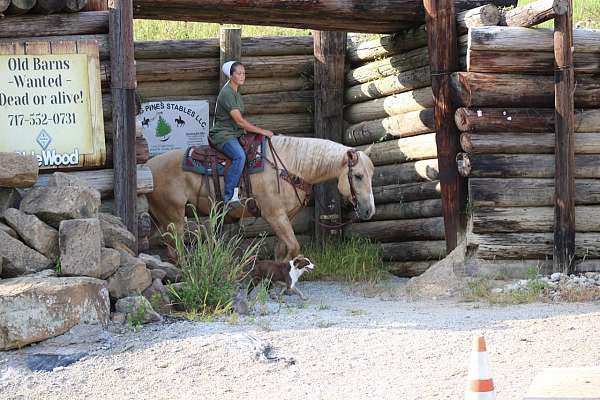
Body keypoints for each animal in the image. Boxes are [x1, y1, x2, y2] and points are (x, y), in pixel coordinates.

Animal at [146, 135, 376, 260]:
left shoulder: (287, 217)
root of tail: (148, 166)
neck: (289, 165)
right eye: (358, 176)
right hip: (173, 219)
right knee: (176, 251)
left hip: (159, 219)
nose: (369, 210)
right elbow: (294, 247)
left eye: (371, 175)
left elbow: (283, 248)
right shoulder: (274, 215)